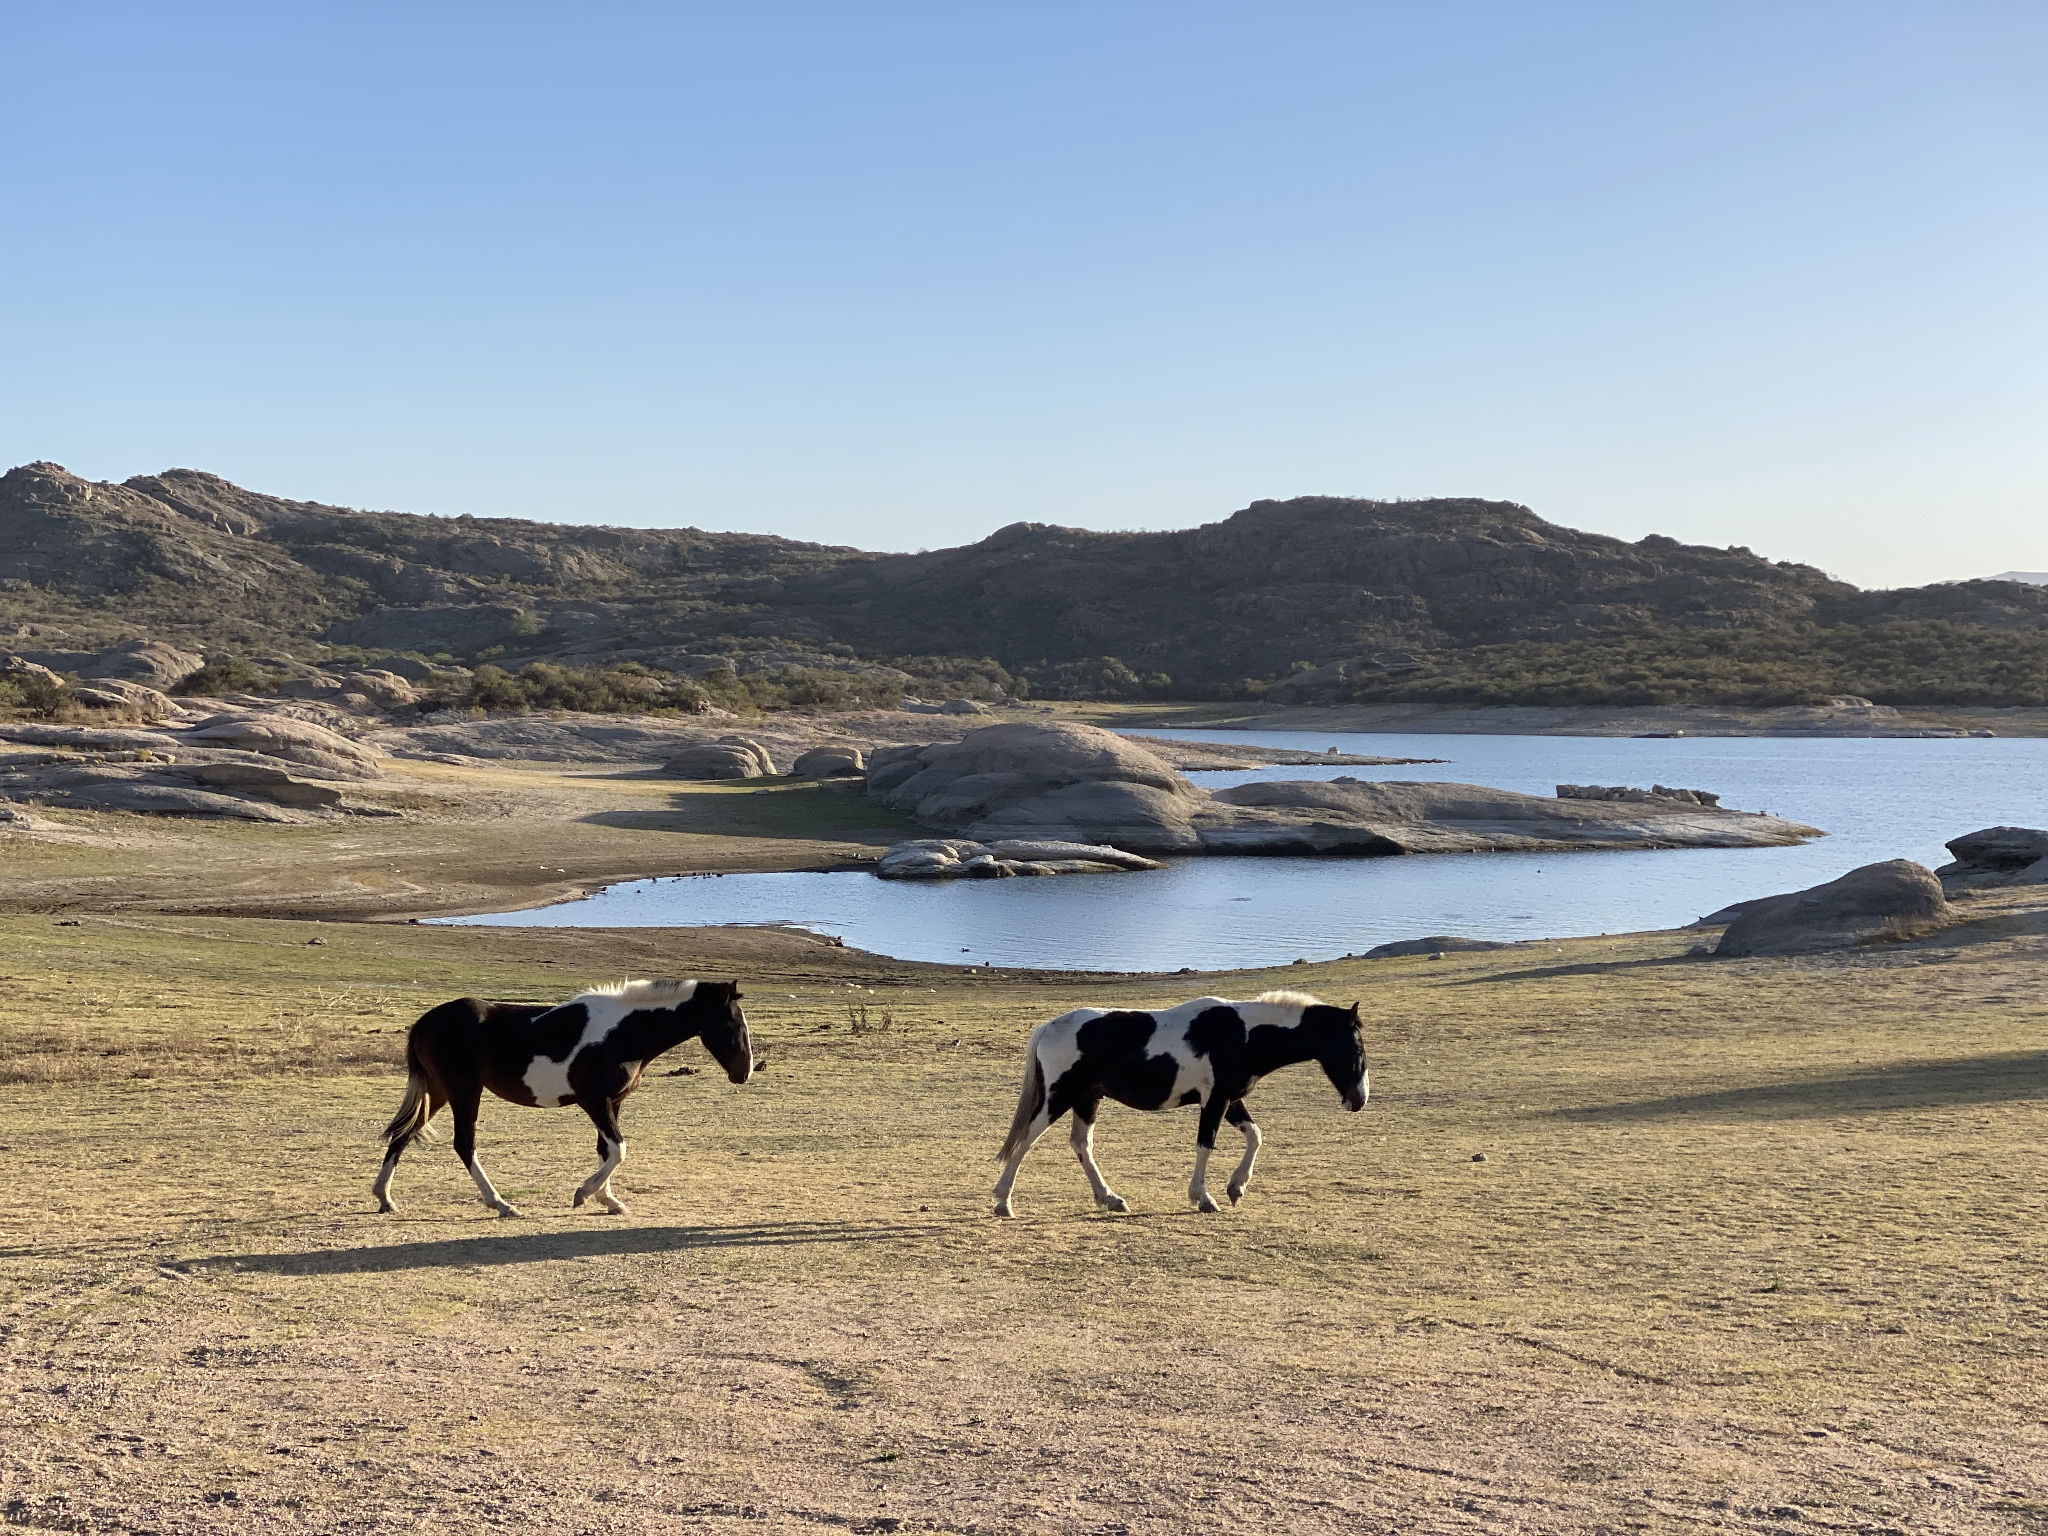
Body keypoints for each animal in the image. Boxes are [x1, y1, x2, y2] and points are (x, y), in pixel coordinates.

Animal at [374, 978, 753, 1220]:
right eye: (732, 1025)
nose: (744, 1072)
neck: (622, 1033)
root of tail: (425, 1021)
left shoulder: (613, 1102)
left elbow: (606, 1150)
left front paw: (608, 1200)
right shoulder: (594, 1101)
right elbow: (619, 1149)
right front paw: (584, 1194)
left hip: (438, 1091)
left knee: (402, 1135)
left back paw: (384, 1198)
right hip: (463, 1090)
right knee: (463, 1144)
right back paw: (501, 1204)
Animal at [995, 991, 1376, 1220]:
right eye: (1355, 1048)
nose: (1360, 1099)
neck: (1242, 1034)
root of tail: (1049, 1027)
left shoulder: (1230, 1099)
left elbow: (1255, 1136)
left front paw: (1236, 1187)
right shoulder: (1216, 1100)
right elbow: (1205, 1145)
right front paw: (1204, 1198)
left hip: (1086, 1099)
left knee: (1081, 1145)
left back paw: (1111, 1199)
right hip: (1058, 1098)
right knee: (1025, 1140)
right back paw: (1003, 1201)